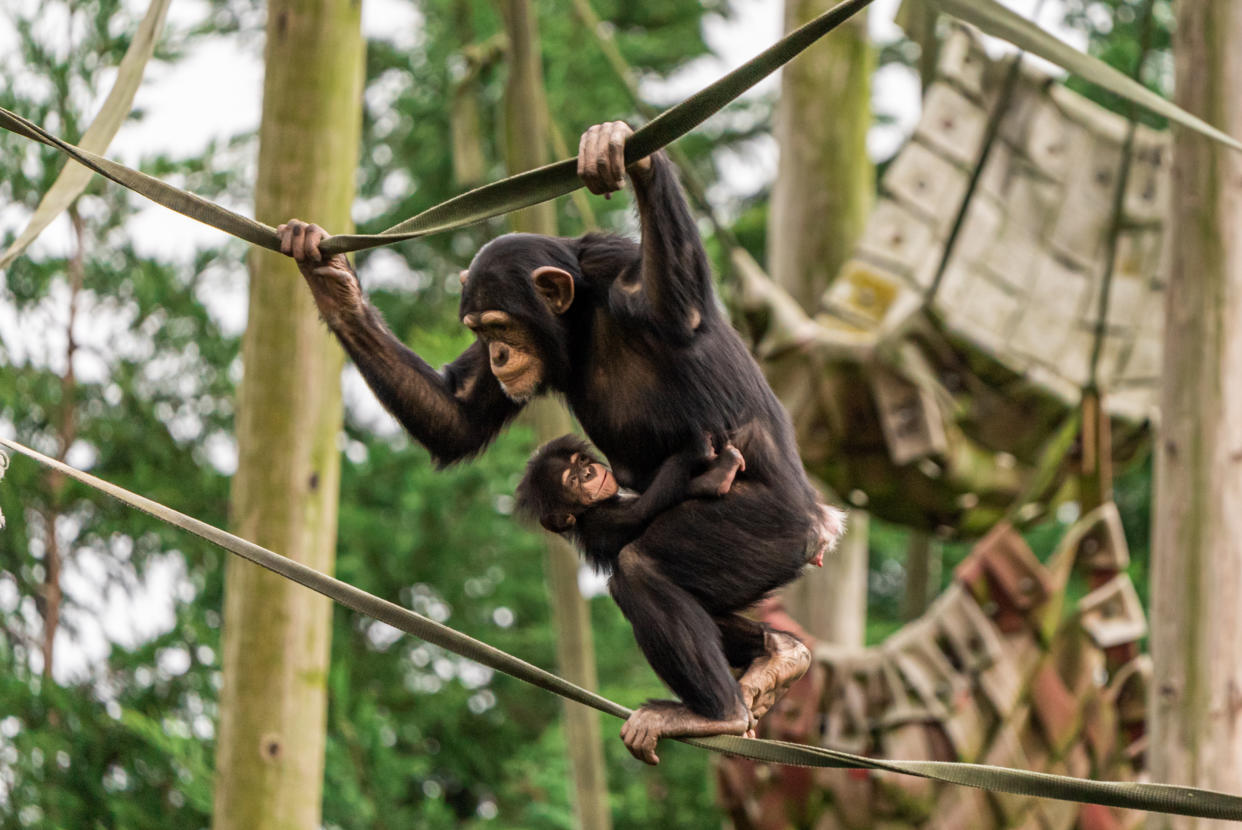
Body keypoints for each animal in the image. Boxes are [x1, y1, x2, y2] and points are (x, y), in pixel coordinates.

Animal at [516, 434, 740, 571]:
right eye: (572, 480)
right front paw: (702, 457)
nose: (587, 473)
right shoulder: (600, 520)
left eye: (581, 461)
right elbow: (641, 511)